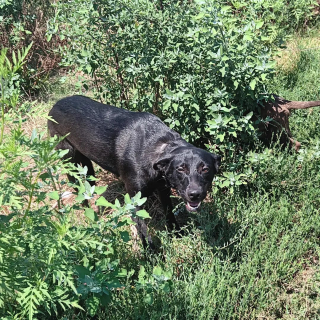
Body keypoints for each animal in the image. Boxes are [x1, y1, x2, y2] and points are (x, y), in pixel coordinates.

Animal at [48, 95, 221, 248]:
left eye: (205, 169)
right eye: (181, 168)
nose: (195, 194)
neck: (159, 147)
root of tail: (55, 105)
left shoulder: (163, 189)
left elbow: (169, 213)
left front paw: (176, 233)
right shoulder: (134, 200)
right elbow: (144, 231)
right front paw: (151, 257)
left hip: (87, 165)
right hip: (69, 159)